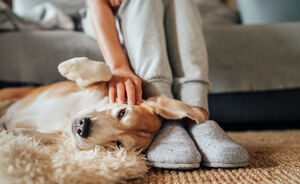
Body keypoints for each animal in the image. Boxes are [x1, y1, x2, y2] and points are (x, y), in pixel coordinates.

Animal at [0, 57, 206, 151]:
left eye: (118, 144)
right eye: (122, 112)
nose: (82, 127)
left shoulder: (65, 137)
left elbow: (47, 137)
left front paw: (18, 134)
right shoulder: (93, 88)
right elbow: (105, 70)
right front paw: (70, 66)